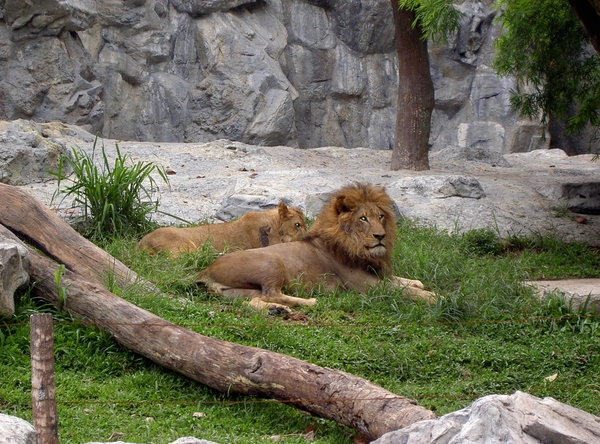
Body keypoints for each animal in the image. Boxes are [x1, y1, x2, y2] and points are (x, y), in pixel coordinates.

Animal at [197, 182, 436, 310]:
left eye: (380, 216)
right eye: (363, 219)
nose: (381, 236)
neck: (356, 247)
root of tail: (206, 270)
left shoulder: (377, 273)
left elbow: (406, 282)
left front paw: (420, 284)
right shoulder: (367, 285)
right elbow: (405, 290)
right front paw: (436, 298)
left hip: (238, 291)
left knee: (257, 299)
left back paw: (278, 311)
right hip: (272, 262)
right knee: (271, 293)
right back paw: (310, 301)